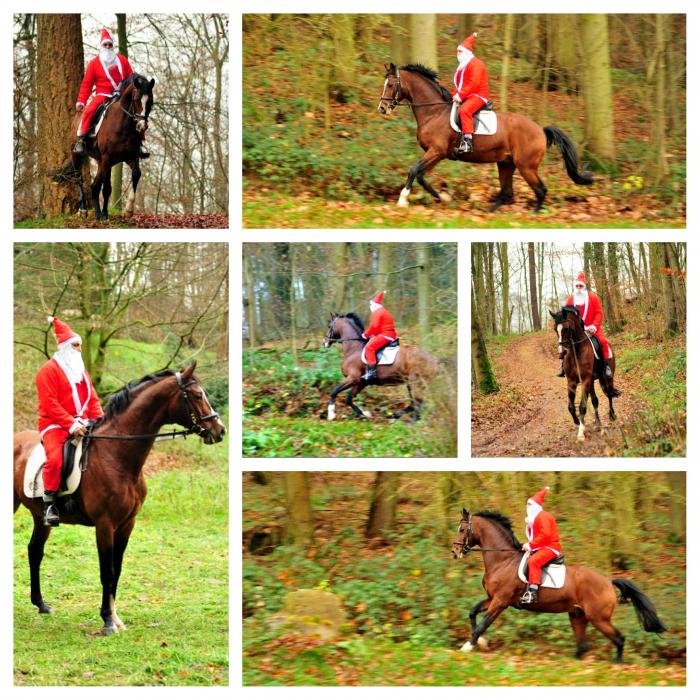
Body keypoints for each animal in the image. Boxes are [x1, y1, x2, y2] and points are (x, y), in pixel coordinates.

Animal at [13, 364, 224, 636]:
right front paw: (107, 621)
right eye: (198, 396)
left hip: (41, 517)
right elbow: (107, 570)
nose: (220, 430)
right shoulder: (105, 524)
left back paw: (41, 604)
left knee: (35, 551)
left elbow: (118, 569)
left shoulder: (127, 524)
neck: (117, 456)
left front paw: (116, 618)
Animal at [70, 72, 154, 219]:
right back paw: (83, 210)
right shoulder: (107, 158)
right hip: (78, 155)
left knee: (98, 186)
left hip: (101, 162)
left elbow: (136, 174)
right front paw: (102, 215)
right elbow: (104, 187)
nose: (142, 126)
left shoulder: (130, 156)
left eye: (150, 101)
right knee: (79, 178)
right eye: (136, 99)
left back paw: (99, 213)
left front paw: (128, 210)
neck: (123, 126)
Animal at [378, 63, 592, 211]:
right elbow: (421, 176)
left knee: (540, 190)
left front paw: (402, 200)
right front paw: (443, 198)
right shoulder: (438, 154)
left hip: (526, 166)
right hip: (506, 163)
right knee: (507, 192)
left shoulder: (436, 151)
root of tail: (540, 129)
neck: (434, 112)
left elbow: (414, 170)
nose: (382, 107)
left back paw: (534, 215)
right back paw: (491, 212)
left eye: (391, 85)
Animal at [452, 508, 664, 660]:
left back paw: (617, 665)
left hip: (599, 618)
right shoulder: (492, 598)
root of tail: (607, 581)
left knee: (619, 639)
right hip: (578, 615)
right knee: (583, 645)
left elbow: (483, 623)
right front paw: (480, 642)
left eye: (462, 530)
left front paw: (468, 646)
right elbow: (472, 613)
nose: (454, 552)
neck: (503, 560)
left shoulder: (500, 601)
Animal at [548, 304, 620, 440]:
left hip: (606, 378)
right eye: (555, 329)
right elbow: (571, 406)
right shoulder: (571, 381)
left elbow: (582, 406)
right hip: (592, 381)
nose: (562, 352)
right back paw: (598, 424)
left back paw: (612, 415)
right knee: (595, 401)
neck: (576, 352)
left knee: (609, 395)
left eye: (566, 328)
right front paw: (577, 421)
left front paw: (581, 432)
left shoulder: (586, 379)